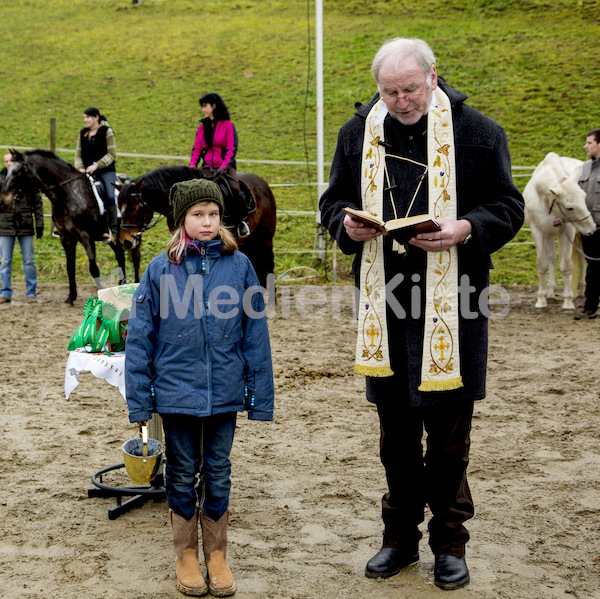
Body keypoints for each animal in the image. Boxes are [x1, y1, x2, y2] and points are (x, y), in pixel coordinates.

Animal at [0, 150, 126, 304]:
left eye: (17, 172)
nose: (3, 201)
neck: (68, 194)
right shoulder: (66, 238)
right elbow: (69, 267)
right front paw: (71, 297)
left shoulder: (86, 237)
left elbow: (93, 268)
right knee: (120, 255)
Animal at [117, 164, 276, 286]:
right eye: (119, 208)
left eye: (132, 208)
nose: (125, 241)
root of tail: (263, 183)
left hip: (266, 237)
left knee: (269, 264)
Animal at [520, 151, 596, 310]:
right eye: (569, 207)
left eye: (584, 196)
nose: (591, 228)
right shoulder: (538, 232)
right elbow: (542, 264)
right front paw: (541, 299)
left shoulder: (568, 232)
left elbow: (567, 266)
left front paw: (568, 301)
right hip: (549, 235)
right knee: (552, 259)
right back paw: (550, 292)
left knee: (581, 260)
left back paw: (581, 290)